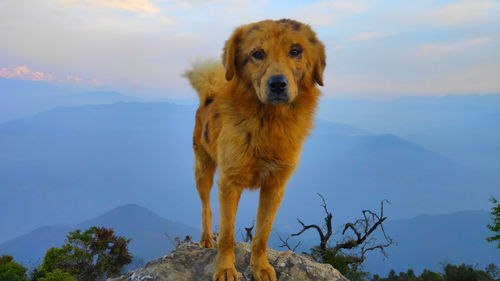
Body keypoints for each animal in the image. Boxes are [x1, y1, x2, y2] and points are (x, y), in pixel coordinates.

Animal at [186, 18, 326, 278]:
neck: (269, 124)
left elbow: (262, 234)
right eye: (257, 54)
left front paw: (260, 267)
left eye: (296, 51)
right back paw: (206, 238)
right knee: (205, 206)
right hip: (203, 170)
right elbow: (227, 235)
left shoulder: (275, 186)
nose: (278, 84)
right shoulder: (229, 183)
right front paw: (225, 269)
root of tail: (209, 96)